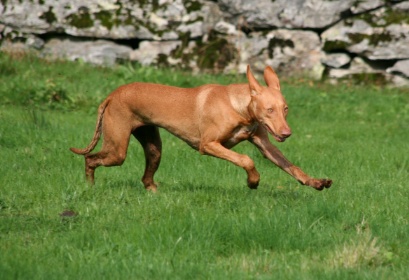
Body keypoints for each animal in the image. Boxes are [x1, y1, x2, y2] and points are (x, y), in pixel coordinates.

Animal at [71, 66, 332, 190]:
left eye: (285, 109)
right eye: (269, 110)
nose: (287, 133)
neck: (238, 107)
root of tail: (112, 95)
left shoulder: (265, 145)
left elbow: (292, 167)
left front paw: (315, 182)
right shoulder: (208, 145)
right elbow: (246, 159)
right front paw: (253, 181)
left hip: (153, 148)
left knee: (146, 179)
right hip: (117, 150)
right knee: (90, 159)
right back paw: (90, 187)